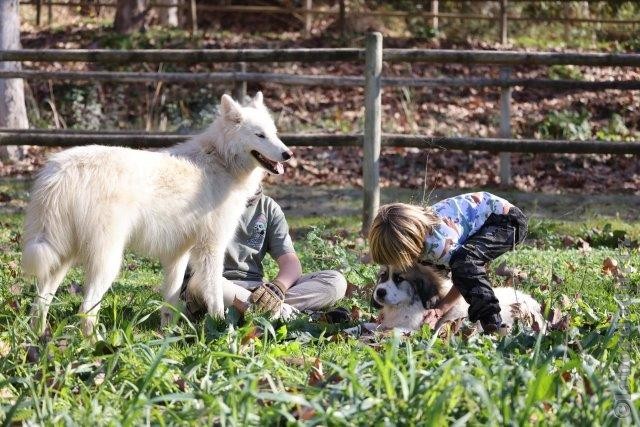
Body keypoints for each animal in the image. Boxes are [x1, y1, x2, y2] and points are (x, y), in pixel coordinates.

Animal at [20, 93, 290, 338]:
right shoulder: (211, 249)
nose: (288, 154)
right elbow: (215, 298)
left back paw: (39, 339)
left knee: (40, 304)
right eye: (260, 135)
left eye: (275, 133)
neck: (221, 159)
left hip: (59, 258)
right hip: (107, 262)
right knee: (86, 310)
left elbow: (170, 301)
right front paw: (222, 331)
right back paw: (99, 346)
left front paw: (167, 335)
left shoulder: (179, 254)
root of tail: (59, 172)